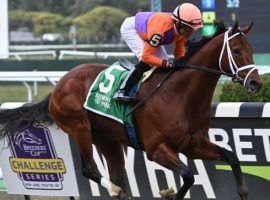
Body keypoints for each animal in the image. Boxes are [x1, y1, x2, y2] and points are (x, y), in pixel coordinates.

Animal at [0, 21, 262, 199]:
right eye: (236, 51)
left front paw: (243, 191)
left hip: (108, 140)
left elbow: (232, 157)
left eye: (251, 49)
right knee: (91, 170)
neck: (181, 96)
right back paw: (117, 191)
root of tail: (59, 86)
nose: (256, 83)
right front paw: (168, 193)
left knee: (115, 173)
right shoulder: (156, 150)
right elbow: (188, 176)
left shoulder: (193, 145)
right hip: (78, 128)